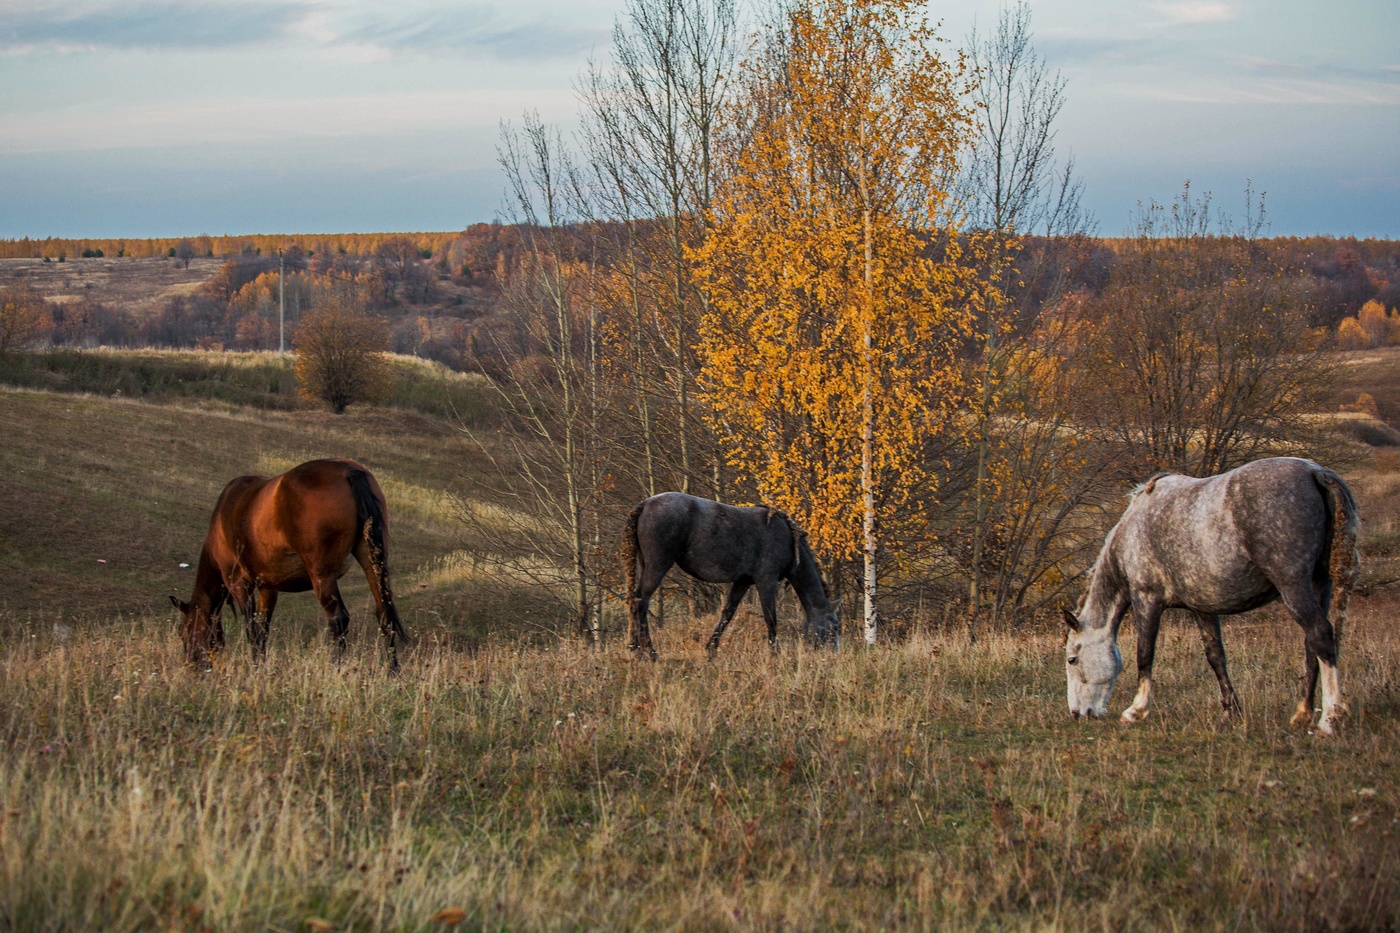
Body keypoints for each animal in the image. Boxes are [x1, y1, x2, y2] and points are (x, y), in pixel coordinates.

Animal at [170, 456, 408, 669]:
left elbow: (251, 628)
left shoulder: (238, 583)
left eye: (183, 631)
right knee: (384, 614)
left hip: (322, 576)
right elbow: (262, 628)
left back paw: (337, 666)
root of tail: (348, 470)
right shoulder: (268, 588)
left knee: (338, 618)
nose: (192, 665)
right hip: (371, 563)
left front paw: (255, 666)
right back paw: (393, 670)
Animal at [627, 490, 840, 658]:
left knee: (635, 601)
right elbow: (770, 617)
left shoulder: (742, 582)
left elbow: (727, 613)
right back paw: (649, 652)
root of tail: (645, 504)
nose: (834, 655)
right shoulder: (766, 581)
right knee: (641, 601)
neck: (787, 538)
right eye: (835, 627)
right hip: (657, 567)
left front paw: (711, 648)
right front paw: (774, 652)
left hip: (647, 566)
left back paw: (637, 648)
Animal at [1058, 456, 1355, 734]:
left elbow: (1144, 653)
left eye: (1072, 659)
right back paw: (1303, 714)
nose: (1076, 714)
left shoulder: (1146, 599)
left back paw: (1329, 718)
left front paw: (1136, 710)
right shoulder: (1202, 608)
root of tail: (1314, 471)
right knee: (1312, 646)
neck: (1134, 530)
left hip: (1293, 586)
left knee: (1320, 634)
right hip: (1320, 584)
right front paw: (1231, 709)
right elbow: (1215, 656)